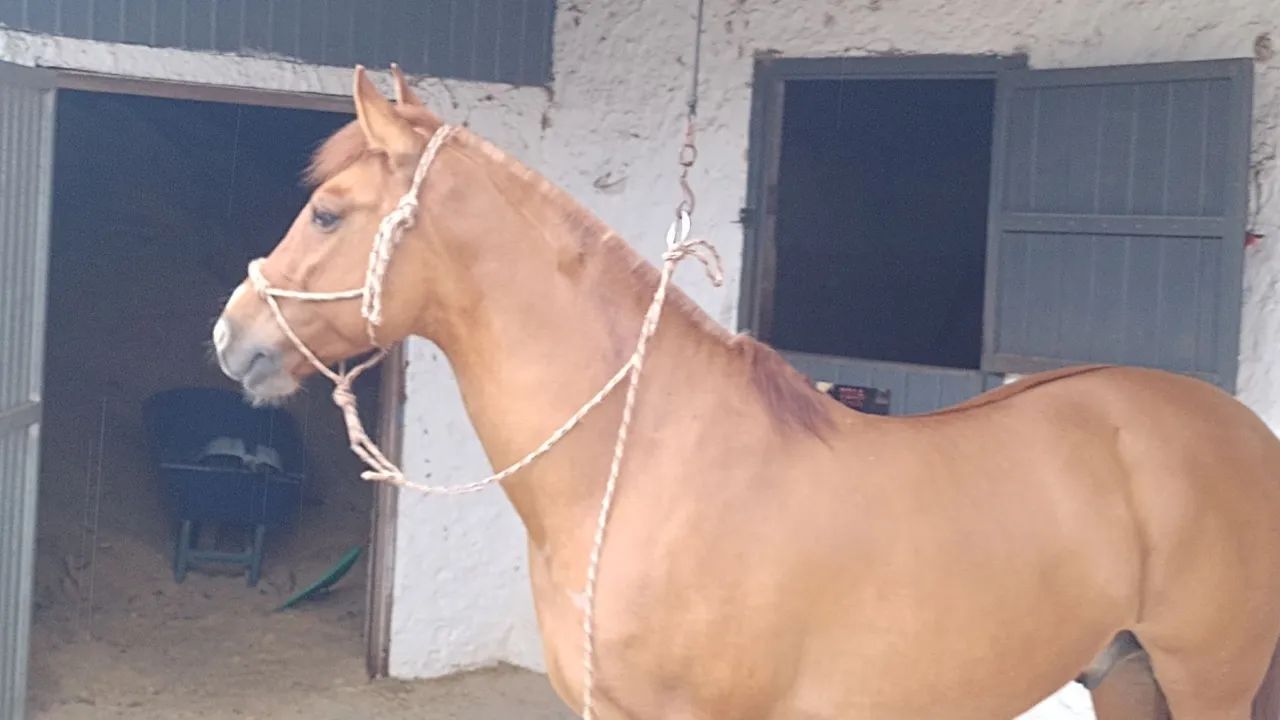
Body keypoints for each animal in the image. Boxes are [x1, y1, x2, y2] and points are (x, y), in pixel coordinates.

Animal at [212, 64, 1280, 719]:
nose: (231, 336)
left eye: (327, 212)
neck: (646, 463)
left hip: (1208, 680)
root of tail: (1244, 432)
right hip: (1127, 677)